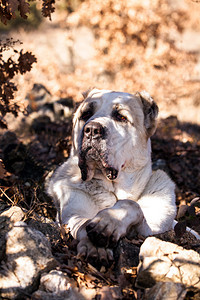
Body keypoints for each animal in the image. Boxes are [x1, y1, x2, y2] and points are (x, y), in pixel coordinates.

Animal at [47, 88, 177, 264]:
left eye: (121, 117)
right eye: (86, 114)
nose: (92, 130)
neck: (115, 189)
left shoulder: (154, 224)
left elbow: (131, 204)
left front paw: (108, 222)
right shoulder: (72, 213)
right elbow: (83, 223)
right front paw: (95, 247)